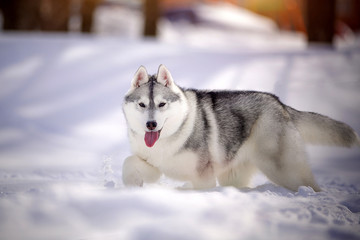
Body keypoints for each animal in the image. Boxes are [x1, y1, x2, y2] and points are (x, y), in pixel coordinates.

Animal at [122, 64, 358, 191]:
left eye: (162, 104)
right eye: (142, 105)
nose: (151, 124)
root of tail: (279, 103)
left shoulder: (203, 177)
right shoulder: (153, 164)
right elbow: (129, 163)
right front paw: (132, 186)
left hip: (284, 170)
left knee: (310, 185)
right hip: (235, 175)